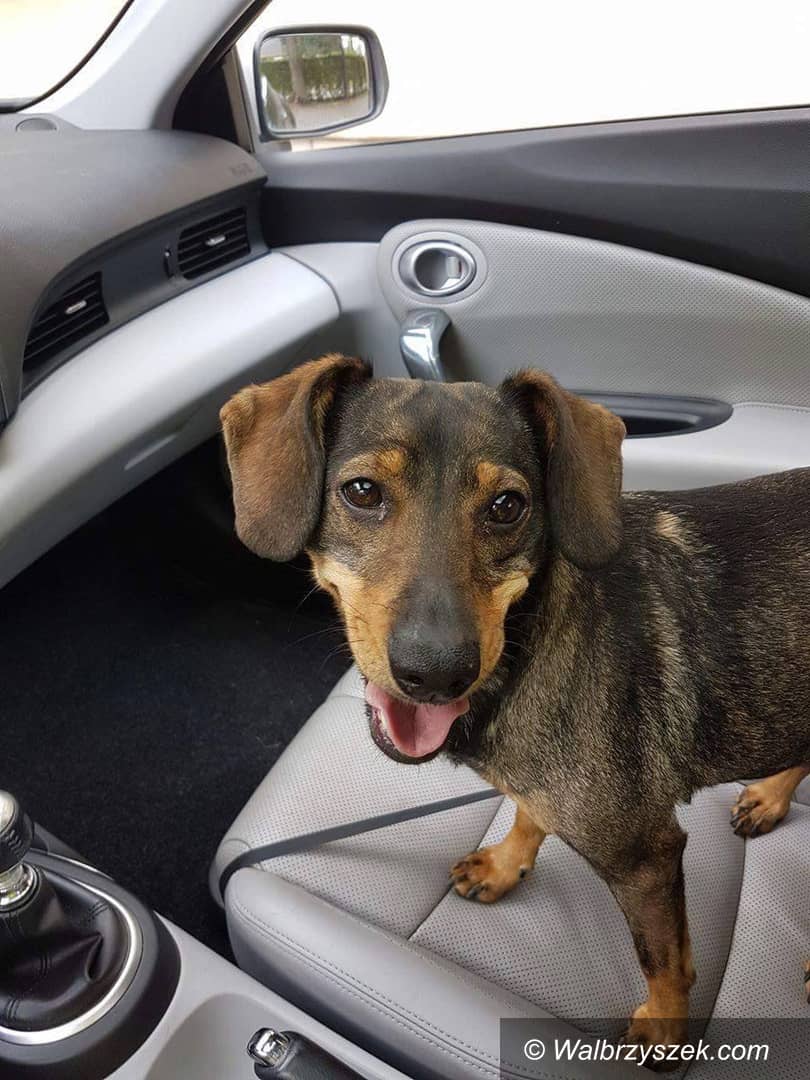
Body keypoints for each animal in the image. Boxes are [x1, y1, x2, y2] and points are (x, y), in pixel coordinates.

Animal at [220, 354, 810, 1064]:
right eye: (361, 492)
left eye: (507, 506)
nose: (436, 674)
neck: (525, 647)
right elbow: (528, 813)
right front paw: (505, 864)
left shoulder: (646, 856)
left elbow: (665, 962)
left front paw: (665, 1036)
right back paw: (770, 797)